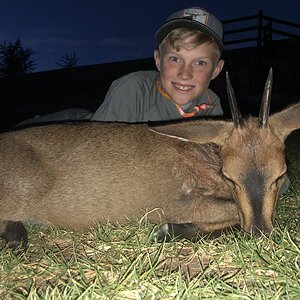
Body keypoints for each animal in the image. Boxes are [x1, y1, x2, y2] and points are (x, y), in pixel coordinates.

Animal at [0, 70, 298, 248]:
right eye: (230, 176)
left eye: (281, 173)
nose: (259, 232)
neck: (204, 163)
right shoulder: (172, 204)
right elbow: (234, 211)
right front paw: (166, 230)